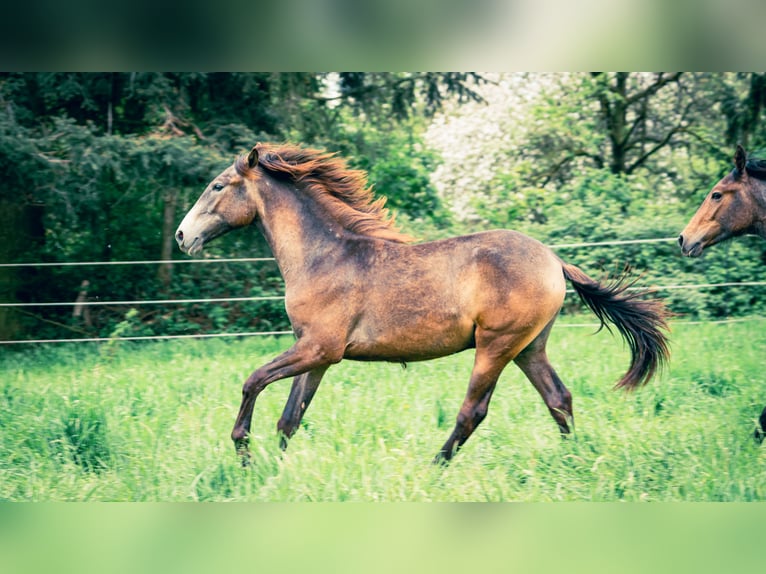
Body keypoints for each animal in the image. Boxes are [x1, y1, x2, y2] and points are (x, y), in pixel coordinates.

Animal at [177, 144, 668, 468]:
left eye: (217, 186)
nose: (183, 236)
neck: (324, 256)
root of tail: (553, 260)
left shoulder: (319, 349)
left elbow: (253, 381)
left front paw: (242, 450)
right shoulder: (317, 355)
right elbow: (290, 418)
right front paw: (275, 470)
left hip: (496, 346)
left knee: (473, 411)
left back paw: (434, 466)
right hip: (529, 347)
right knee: (558, 398)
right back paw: (574, 460)